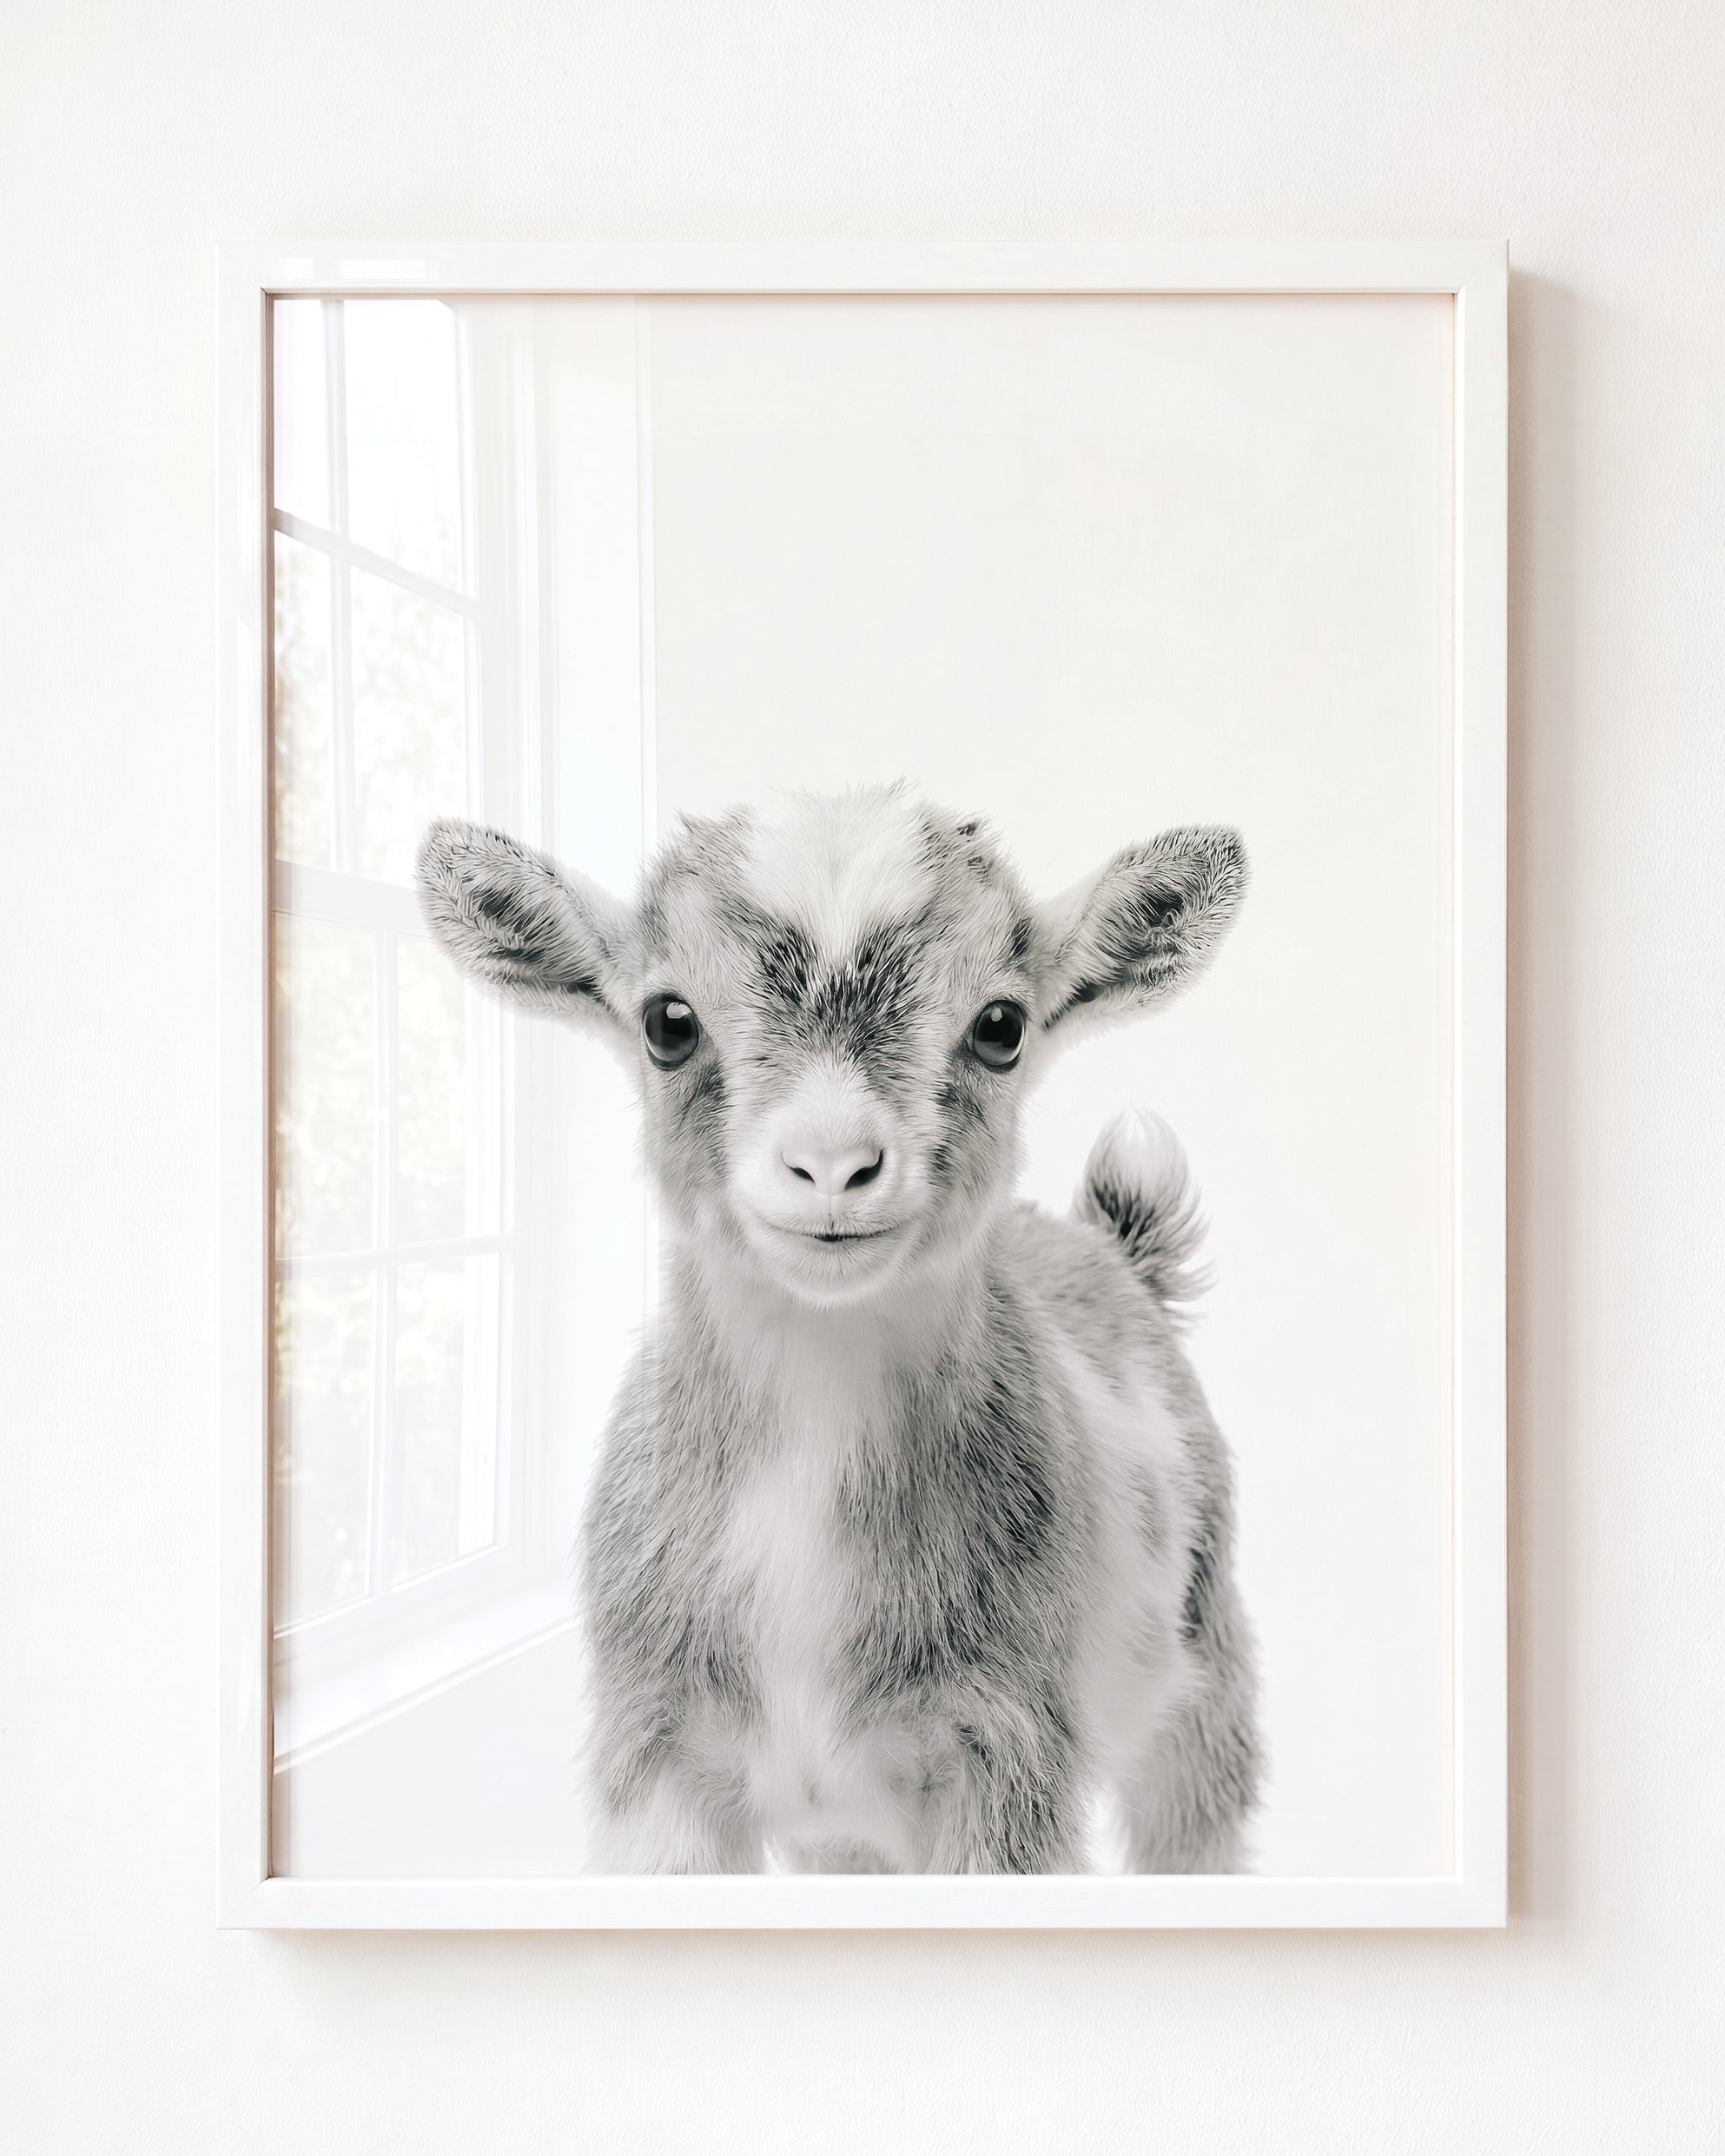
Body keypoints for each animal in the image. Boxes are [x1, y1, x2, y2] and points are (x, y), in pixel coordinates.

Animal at [417, 784, 1260, 1873]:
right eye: (667, 1021)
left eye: (1002, 1025)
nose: (831, 1165)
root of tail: (1113, 1251)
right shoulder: (657, 1758)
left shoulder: (1008, 1759)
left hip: (1206, 1675)